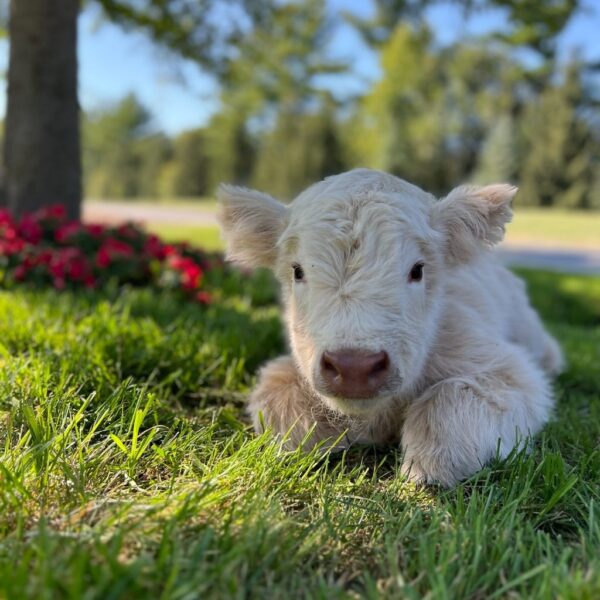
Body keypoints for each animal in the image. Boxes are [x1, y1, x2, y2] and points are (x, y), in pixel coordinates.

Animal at [218, 169, 564, 488]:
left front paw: (430, 468)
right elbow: (278, 398)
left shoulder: (510, 371)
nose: (354, 367)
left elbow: (451, 397)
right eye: (298, 271)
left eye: (418, 270)